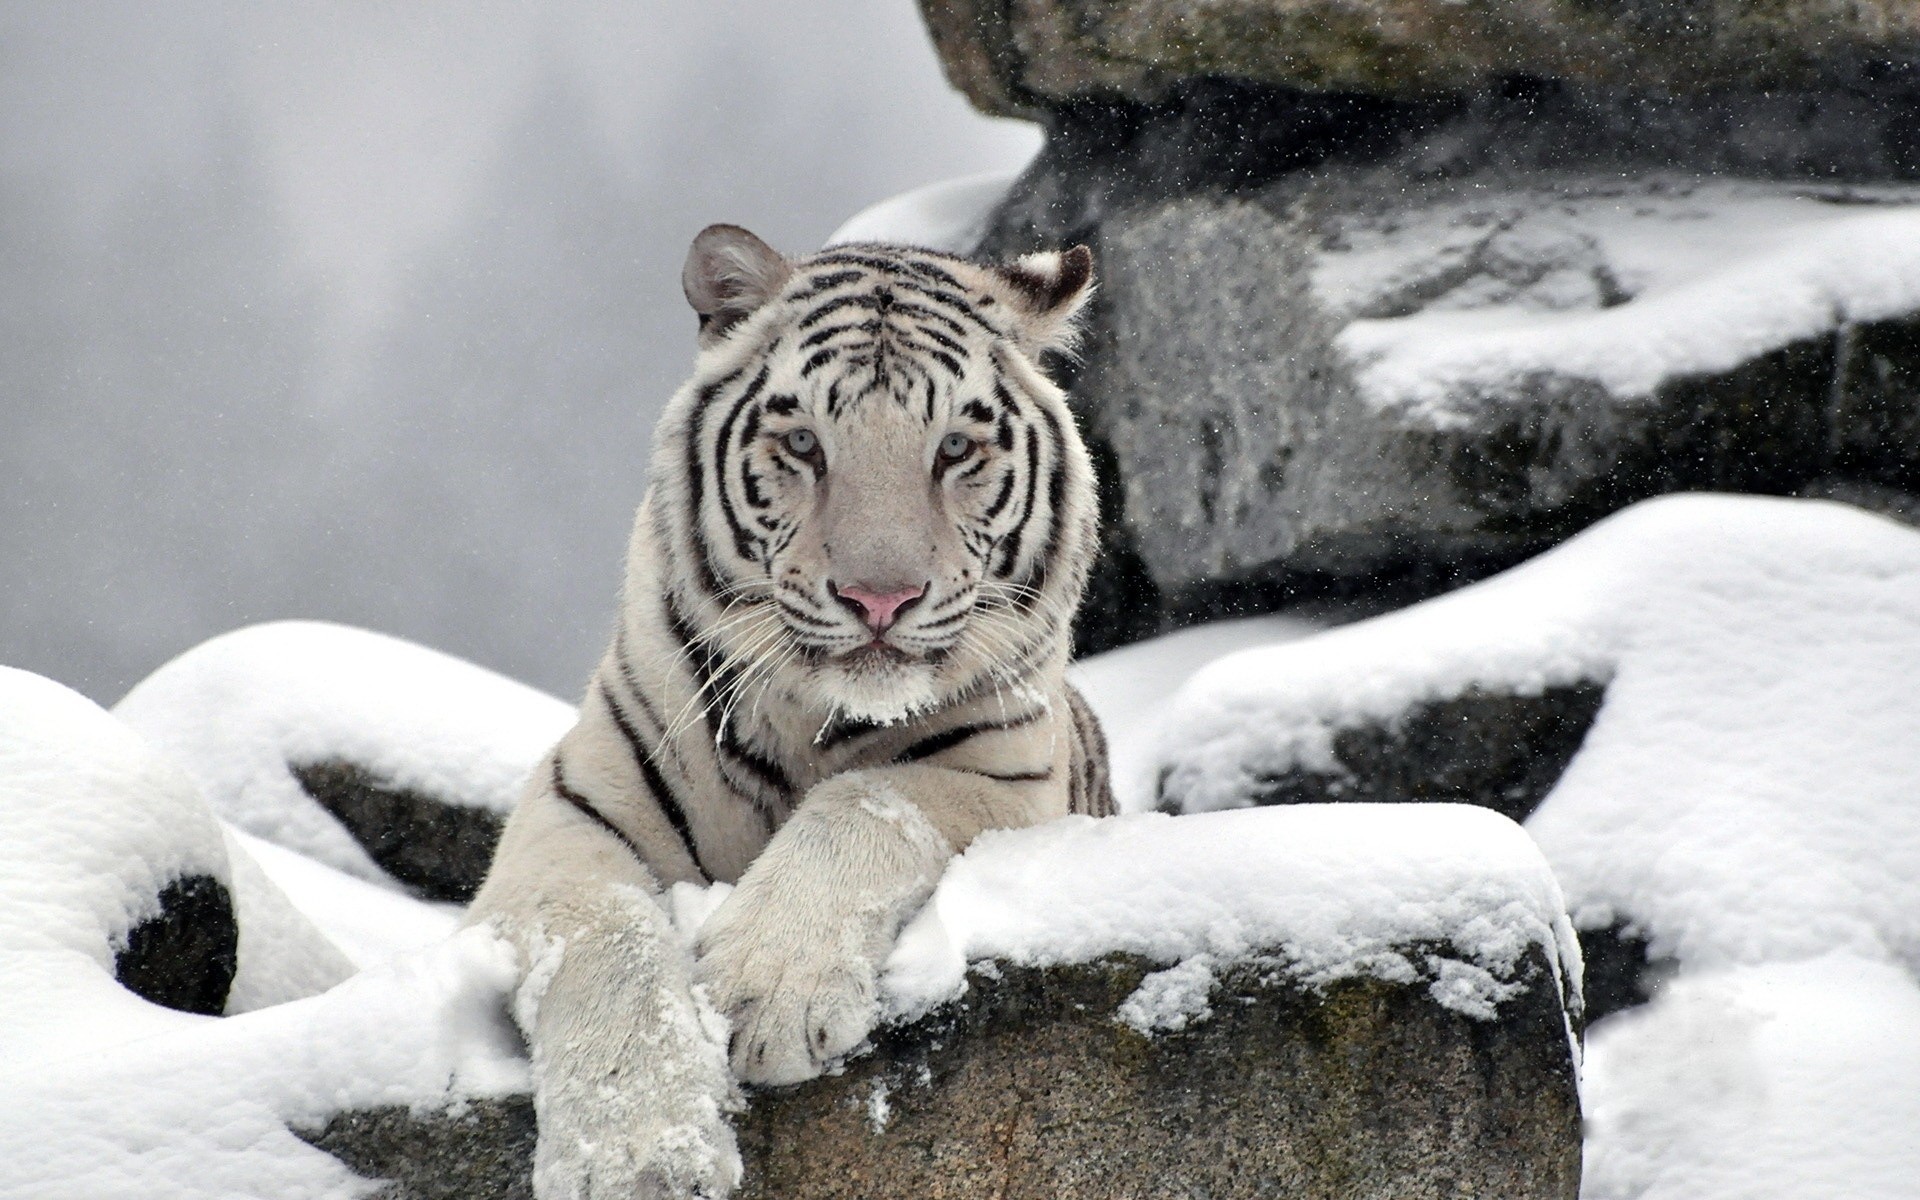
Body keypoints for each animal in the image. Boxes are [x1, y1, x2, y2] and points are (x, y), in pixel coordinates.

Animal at [467, 224, 1110, 1199]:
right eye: (805, 443)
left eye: (955, 448)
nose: (880, 599)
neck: (812, 722)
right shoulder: (567, 814)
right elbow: (605, 934)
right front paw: (641, 1158)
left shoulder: (1008, 779)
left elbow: (868, 802)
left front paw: (765, 992)